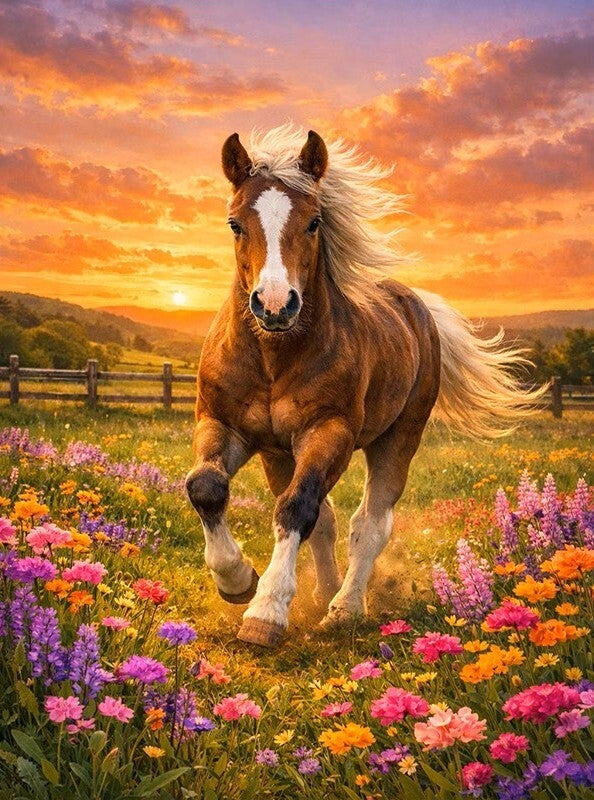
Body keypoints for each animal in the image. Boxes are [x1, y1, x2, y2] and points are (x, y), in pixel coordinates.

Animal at [185, 124, 544, 648]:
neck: (274, 355)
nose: (275, 304)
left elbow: (297, 509)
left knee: (368, 524)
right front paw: (237, 581)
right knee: (327, 520)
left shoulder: (329, 431)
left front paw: (265, 612)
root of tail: (416, 307)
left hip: (397, 438)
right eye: (235, 223)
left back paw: (343, 608)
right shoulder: (225, 425)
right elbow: (207, 487)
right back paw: (321, 594)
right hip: (280, 454)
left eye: (314, 222)